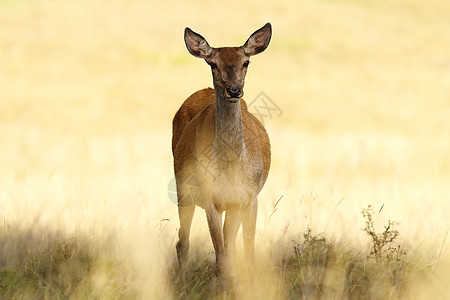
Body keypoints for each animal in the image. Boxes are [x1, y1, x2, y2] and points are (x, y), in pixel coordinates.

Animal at [171, 22, 270, 278]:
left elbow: (245, 249)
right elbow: (220, 257)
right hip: (182, 189)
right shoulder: (210, 198)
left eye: (246, 62)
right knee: (182, 242)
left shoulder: (249, 196)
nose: (234, 90)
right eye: (212, 63)